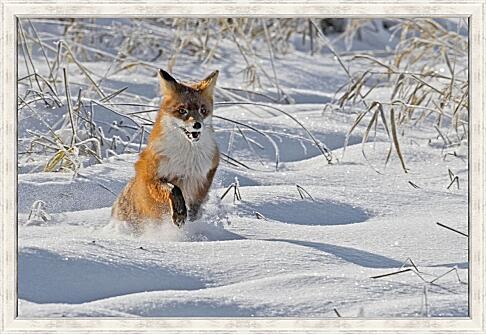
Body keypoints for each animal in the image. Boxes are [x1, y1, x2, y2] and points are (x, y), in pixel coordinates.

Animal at [111, 69, 219, 231]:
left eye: (203, 110)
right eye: (182, 110)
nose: (197, 125)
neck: (187, 159)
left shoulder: (206, 175)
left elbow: (197, 204)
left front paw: (192, 216)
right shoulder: (151, 178)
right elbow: (174, 189)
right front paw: (180, 213)